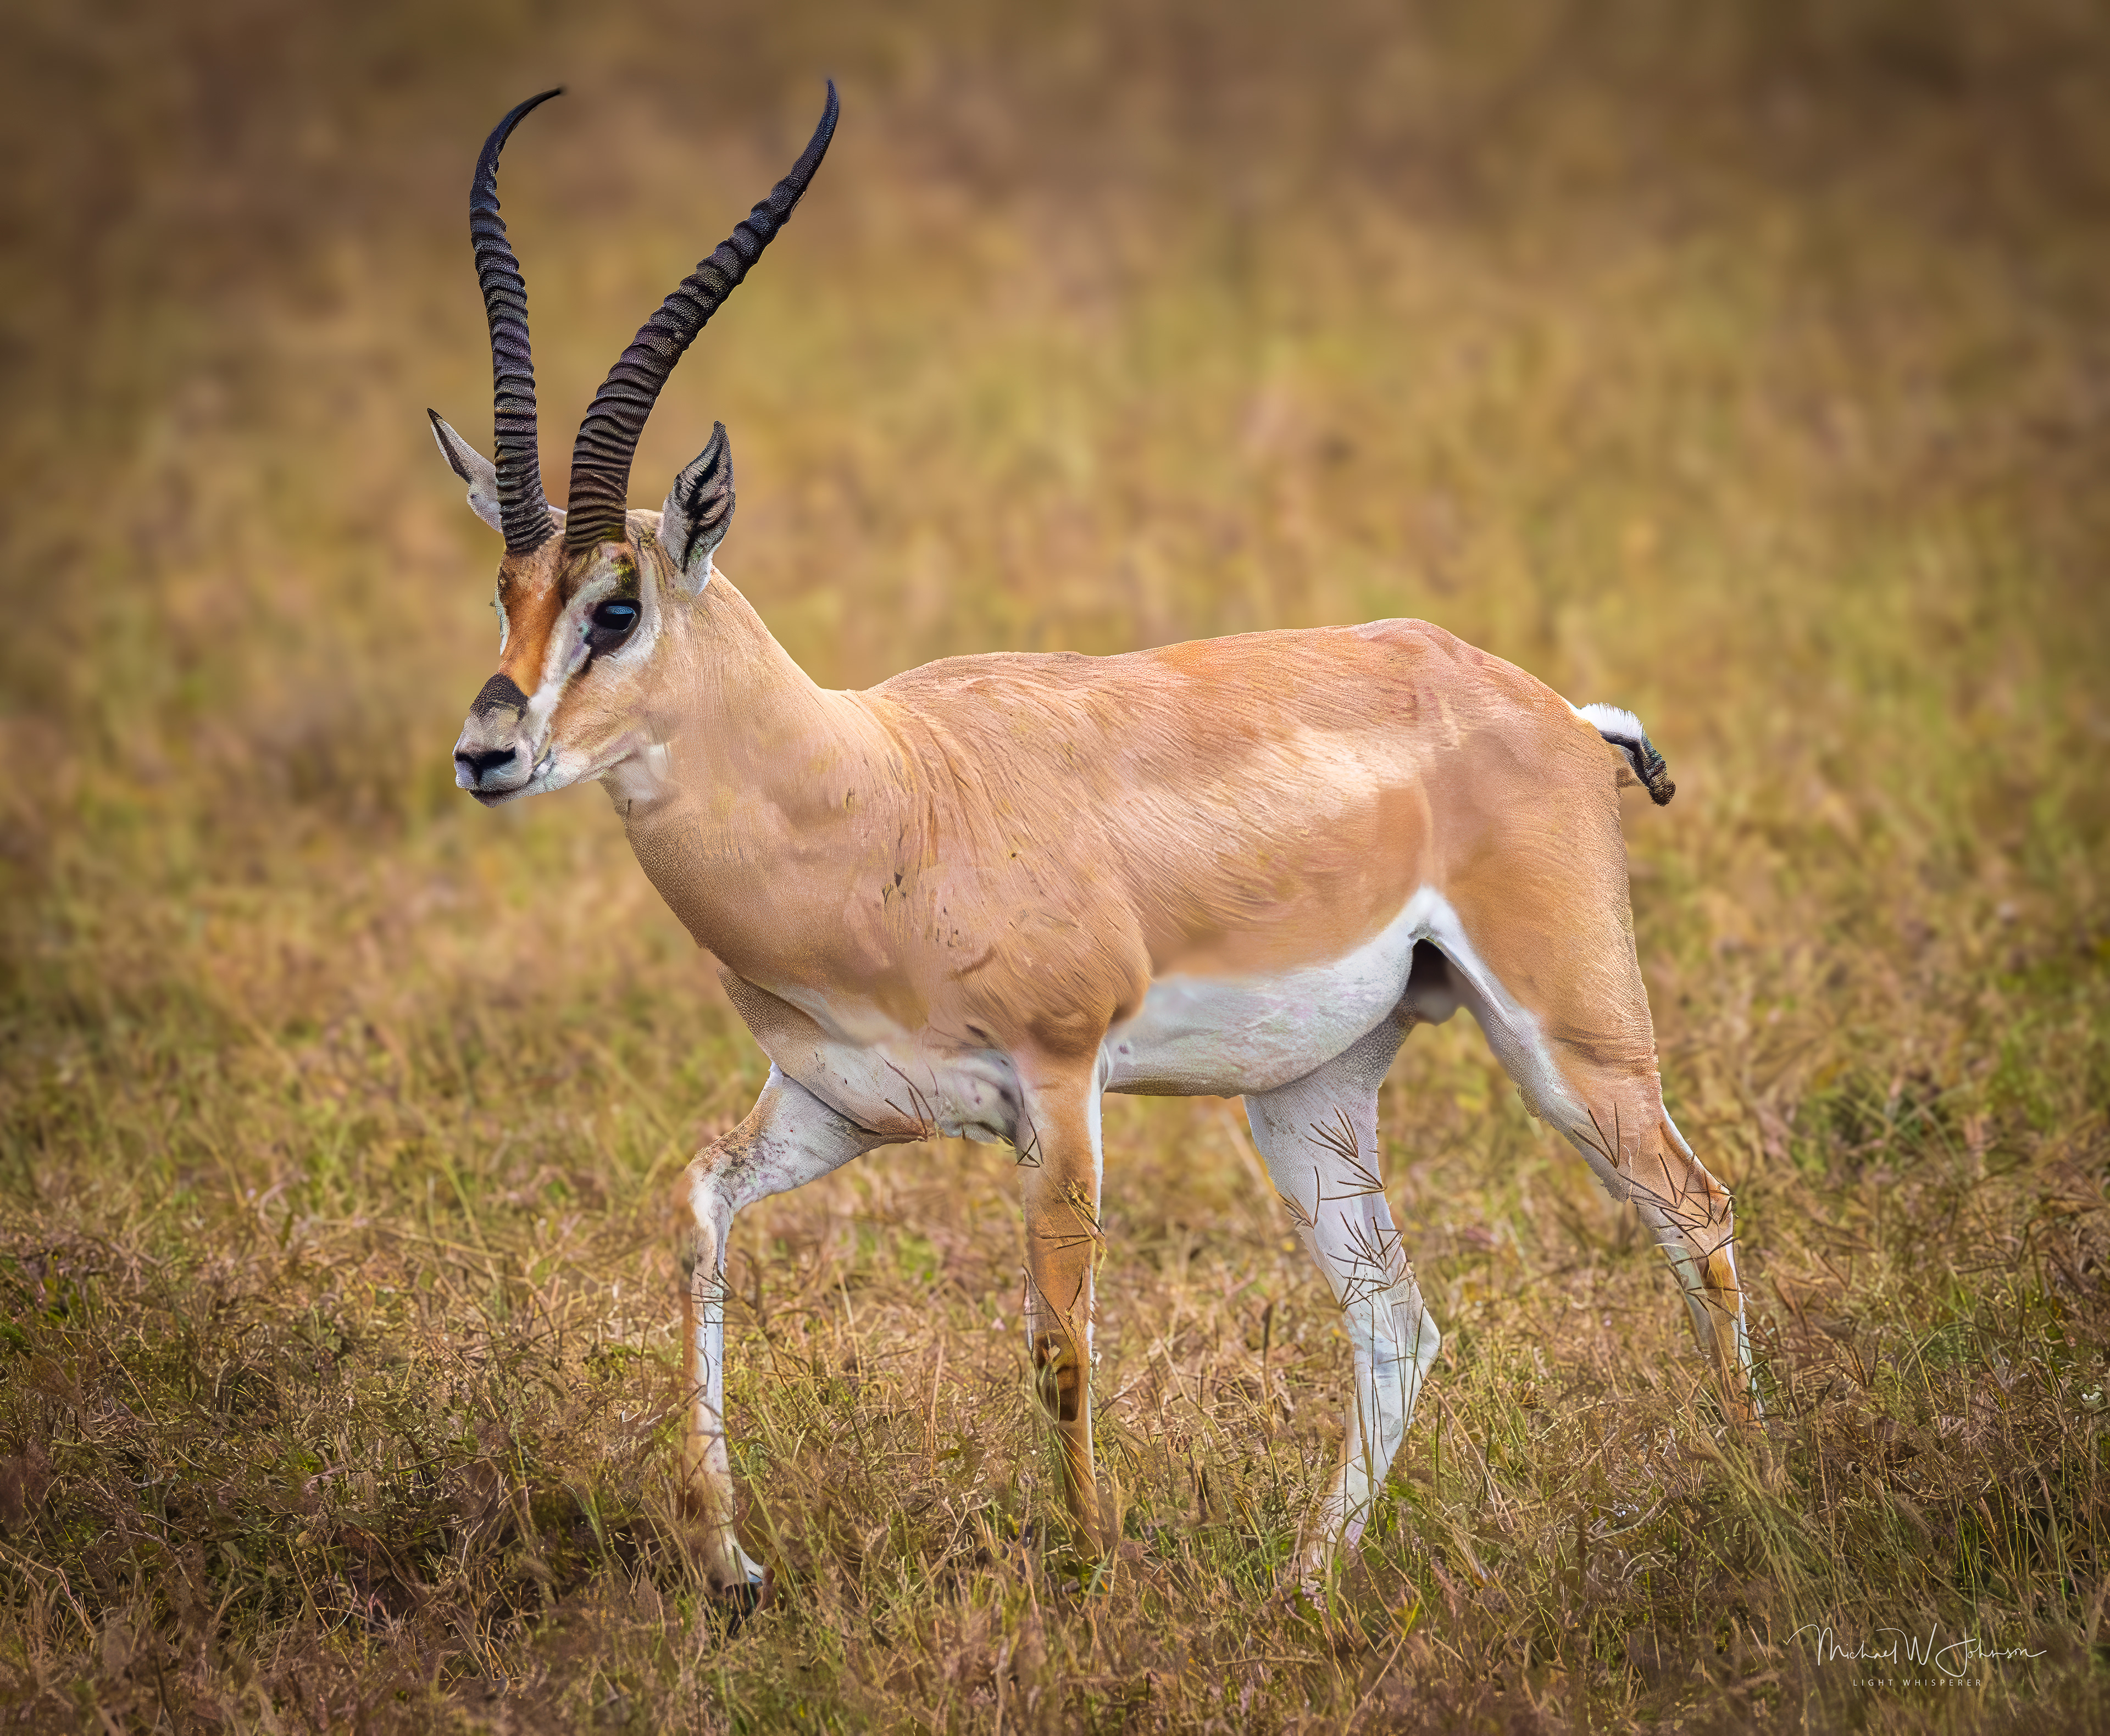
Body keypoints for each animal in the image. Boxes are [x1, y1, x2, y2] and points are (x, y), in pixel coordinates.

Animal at [430, 82, 1758, 1600]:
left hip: (1573, 1037)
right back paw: (1305, 1588)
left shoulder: (1058, 1084)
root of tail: (1551, 707)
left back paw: (1760, 1504)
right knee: (1396, 1316)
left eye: (617, 605)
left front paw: (1091, 1575)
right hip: (1308, 1091)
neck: (880, 797)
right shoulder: (839, 1099)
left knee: (1696, 1215)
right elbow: (698, 1203)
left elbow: (1058, 1343)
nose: (486, 752)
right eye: (506, 590)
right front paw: (733, 1563)